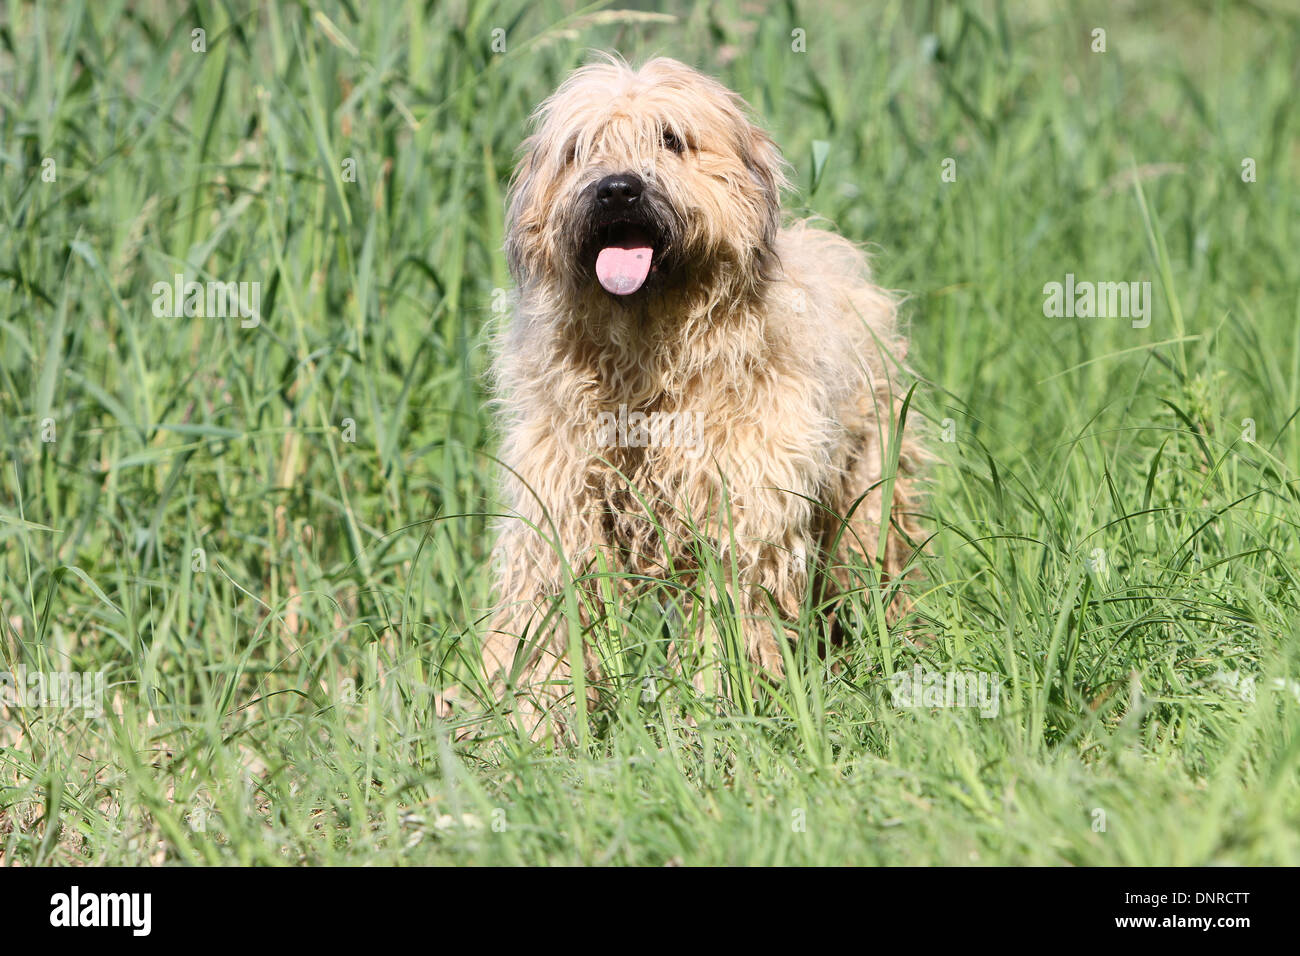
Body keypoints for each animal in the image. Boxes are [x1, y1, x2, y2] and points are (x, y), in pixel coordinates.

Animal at [475, 55, 915, 738]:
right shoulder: (561, 507)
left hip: (868, 494)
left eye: (671, 139)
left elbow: (734, 614)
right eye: (581, 149)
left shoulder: (746, 512)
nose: (618, 189)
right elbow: (547, 616)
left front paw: (720, 710)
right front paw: (531, 724)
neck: (649, 357)